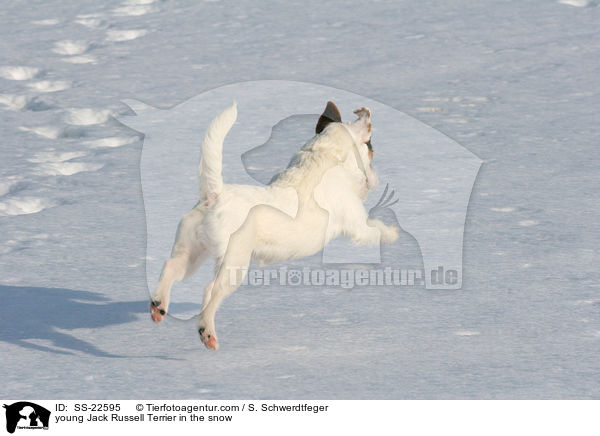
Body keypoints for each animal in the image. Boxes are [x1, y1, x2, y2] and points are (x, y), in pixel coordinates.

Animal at [149, 100, 398, 350]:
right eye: (372, 151)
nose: (375, 180)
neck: (324, 155)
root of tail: (215, 195)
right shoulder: (358, 225)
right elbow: (375, 229)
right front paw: (393, 233)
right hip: (234, 262)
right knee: (212, 291)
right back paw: (207, 332)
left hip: (193, 251)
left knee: (173, 267)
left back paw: (158, 306)